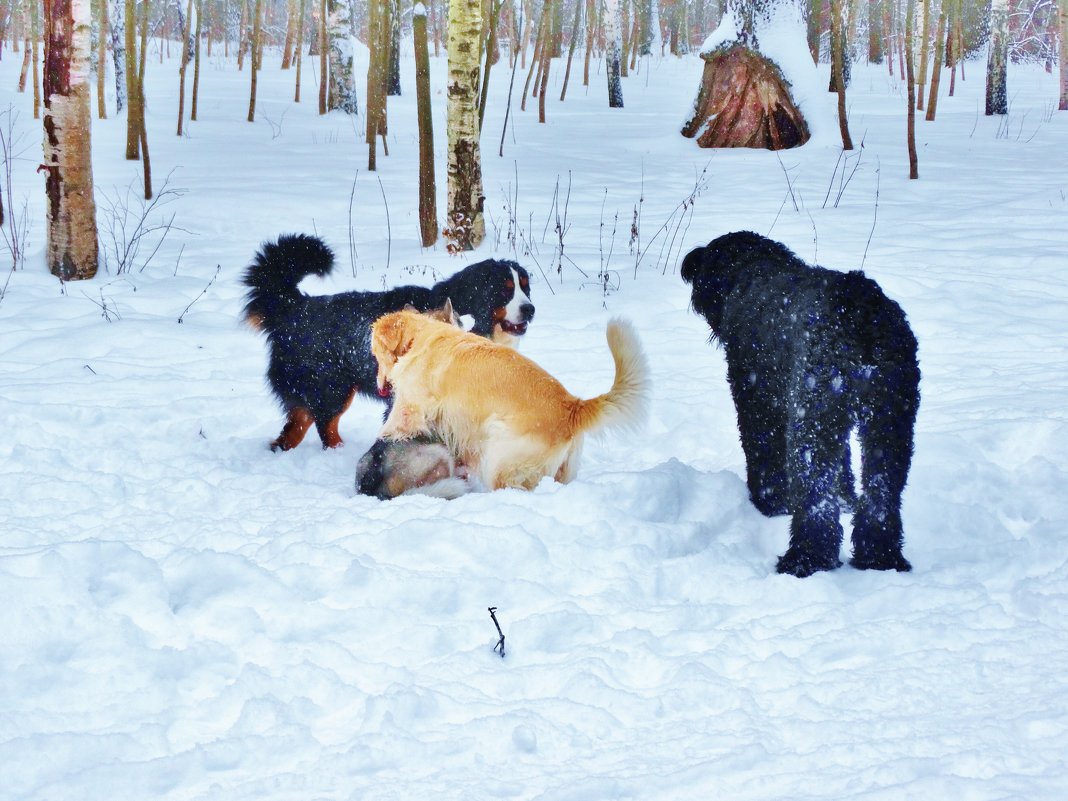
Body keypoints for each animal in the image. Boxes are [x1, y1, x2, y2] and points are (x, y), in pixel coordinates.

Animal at [245, 234, 538, 454]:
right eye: (504, 289)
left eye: (525, 287)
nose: (530, 309)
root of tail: (294, 306)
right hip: (332, 389)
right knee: (326, 428)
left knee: (292, 431)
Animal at [683, 231, 918, 576]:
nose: (689, 266)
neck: (750, 271)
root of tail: (862, 314)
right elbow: (844, 466)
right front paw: (845, 498)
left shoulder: (756, 396)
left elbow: (763, 454)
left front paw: (770, 503)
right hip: (889, 422)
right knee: (882, 492)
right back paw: (880, 557)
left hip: (814, 420)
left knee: (815, 496)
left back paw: (806, 558)